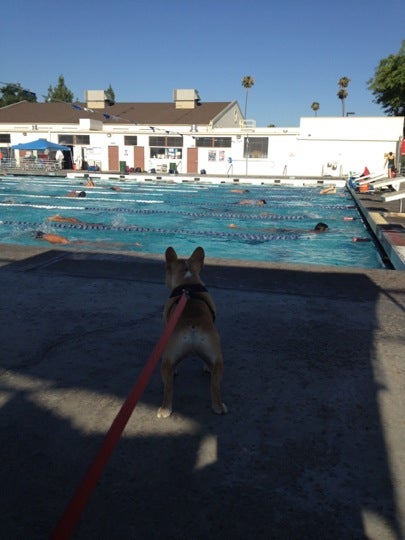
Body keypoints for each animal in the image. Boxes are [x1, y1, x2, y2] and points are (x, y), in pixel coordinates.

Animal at [157, 246, 227, 418]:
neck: (187, 283)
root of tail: (193, 325)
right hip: (218, 359)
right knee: (215, 385)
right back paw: (218, 407)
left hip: (166, 360)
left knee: (168, 386)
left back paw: (165, 408)